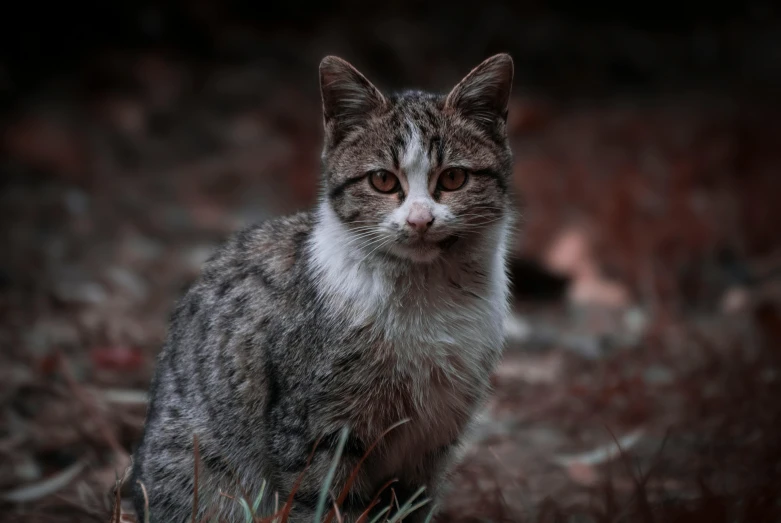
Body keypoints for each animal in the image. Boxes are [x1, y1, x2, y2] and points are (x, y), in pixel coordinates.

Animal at [131, 54, 516, 523]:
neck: (428, 293)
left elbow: (411, 504)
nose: (420, 220)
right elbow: (323, 501)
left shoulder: (433, 439)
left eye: (455, 178)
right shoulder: (314, 428)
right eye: (383, 181)